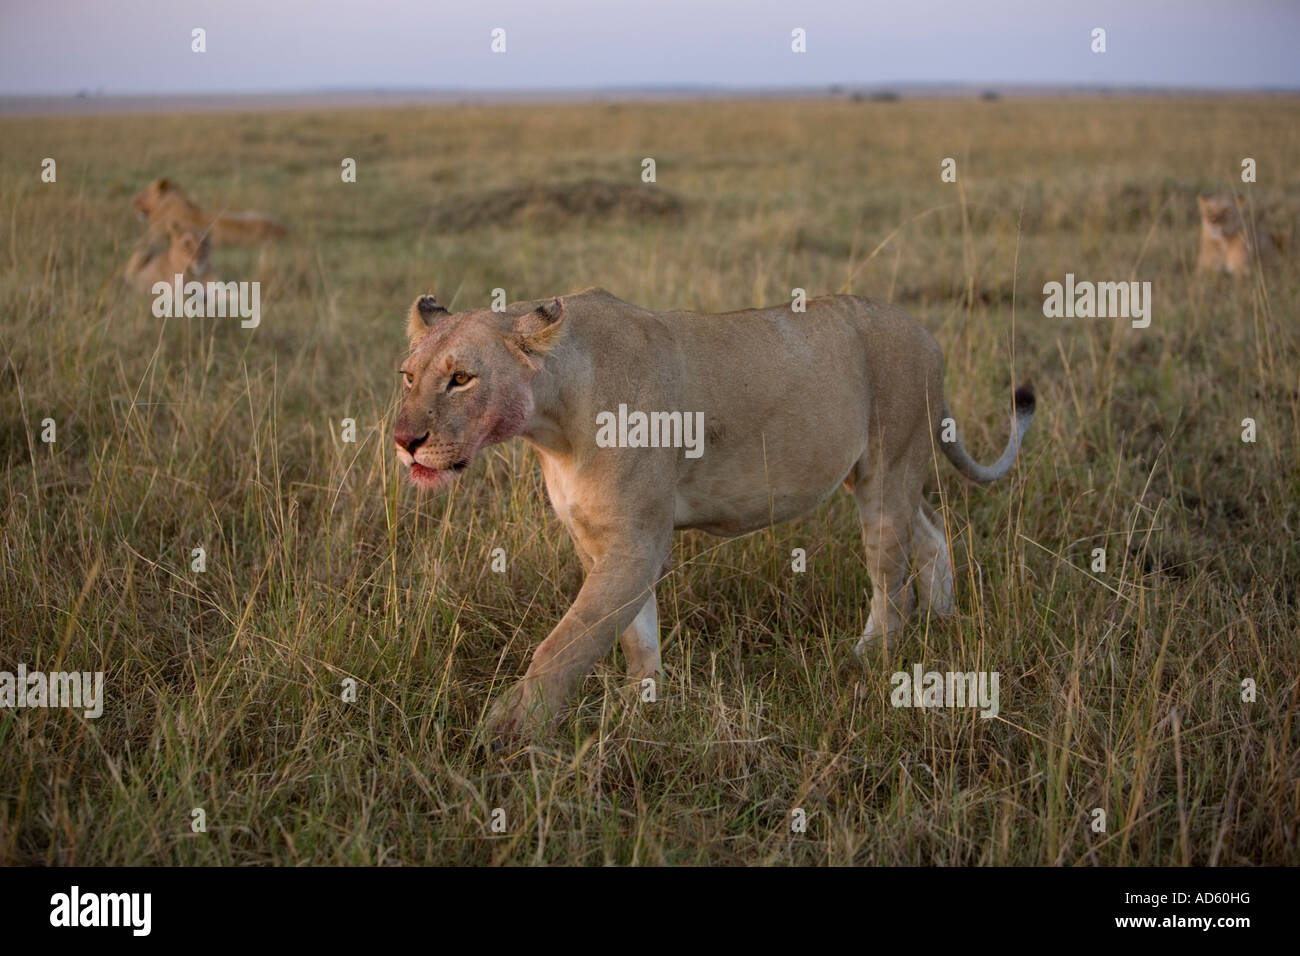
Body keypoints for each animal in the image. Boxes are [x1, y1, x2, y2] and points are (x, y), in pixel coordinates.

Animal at [395, 288, 1035, 743]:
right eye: (409, 376)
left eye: (461, 379)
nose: (404, 441)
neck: (550, 423)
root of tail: (924, 332)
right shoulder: (601, 541)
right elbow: (634, 635)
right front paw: (641, 705)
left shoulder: (638, 541)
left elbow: (568, 641)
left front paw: (507, 730)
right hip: (880, 474)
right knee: (930, 533)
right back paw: (946, 622)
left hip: (889, 468)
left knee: (891, 580)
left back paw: (867, 658)